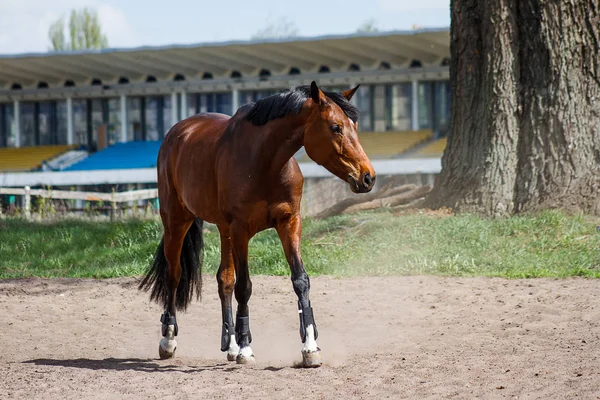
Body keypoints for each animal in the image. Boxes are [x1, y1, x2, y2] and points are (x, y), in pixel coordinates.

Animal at [140, 82, 376, 368]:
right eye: (335, 127)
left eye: (354, 125)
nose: (367, 177)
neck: (265, 163)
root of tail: (178, 131)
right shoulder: (241, 230)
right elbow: (244, 287)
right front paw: (245, 348)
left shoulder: (289, 223)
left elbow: (300, 280)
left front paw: (310, 347)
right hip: (177, 221)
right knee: (174, 275)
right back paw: (169, 340)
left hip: (224, 230)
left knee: (224, 280)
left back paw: (229, 344)